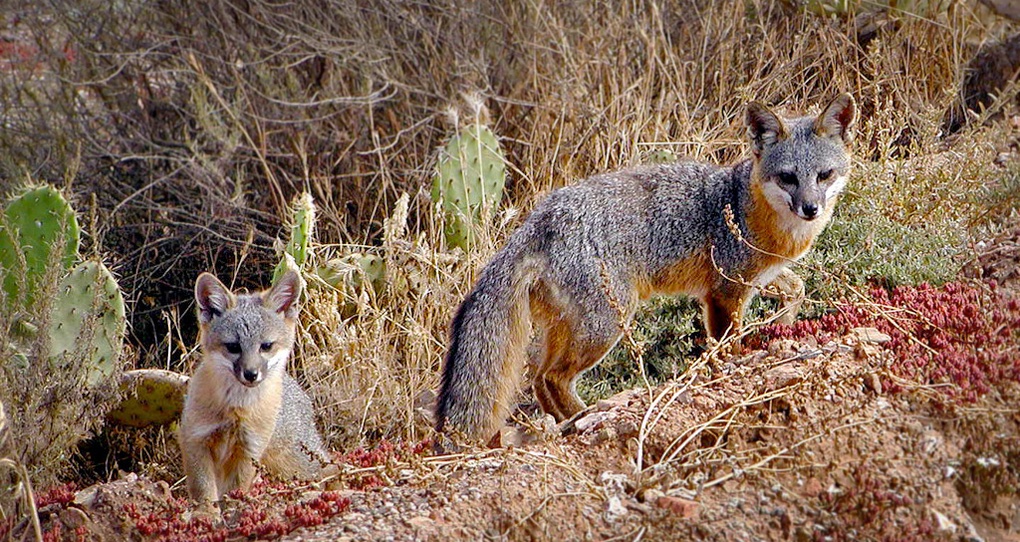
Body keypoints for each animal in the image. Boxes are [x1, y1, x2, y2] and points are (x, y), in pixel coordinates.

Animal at [178, 270, 331, 504]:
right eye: (233, 347)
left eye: (266, 346)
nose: (251, 374)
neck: (236, 408)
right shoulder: (196, 439)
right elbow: (204, 490)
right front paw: (207, 512)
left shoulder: (250, 450)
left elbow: (236, 490)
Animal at [435, 93, 856, 444]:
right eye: (788, 178)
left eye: (824, 175)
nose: (810, 208)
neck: (745, 206)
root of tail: (539, 218)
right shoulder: (725, 291)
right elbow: (725, 346)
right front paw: (734, 366)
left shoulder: (760, 277)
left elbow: (797, 288)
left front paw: (781, 326)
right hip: (606, 323)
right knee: (552, 377)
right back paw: (586, 418)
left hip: (569, 326)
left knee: (539, 376)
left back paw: (566, 422)